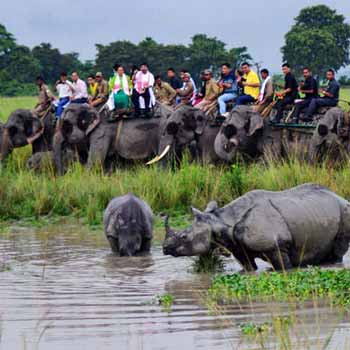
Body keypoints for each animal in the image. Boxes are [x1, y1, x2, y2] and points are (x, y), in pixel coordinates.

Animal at [163, 183, 350, 270]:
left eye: (184, 236)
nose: (165, 248)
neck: (220, 221)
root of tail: (341, 197)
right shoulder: (238, 248)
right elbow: (249, 267)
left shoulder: (276, 246)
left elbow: (284, 268)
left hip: (345, 211)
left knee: (338, 250)